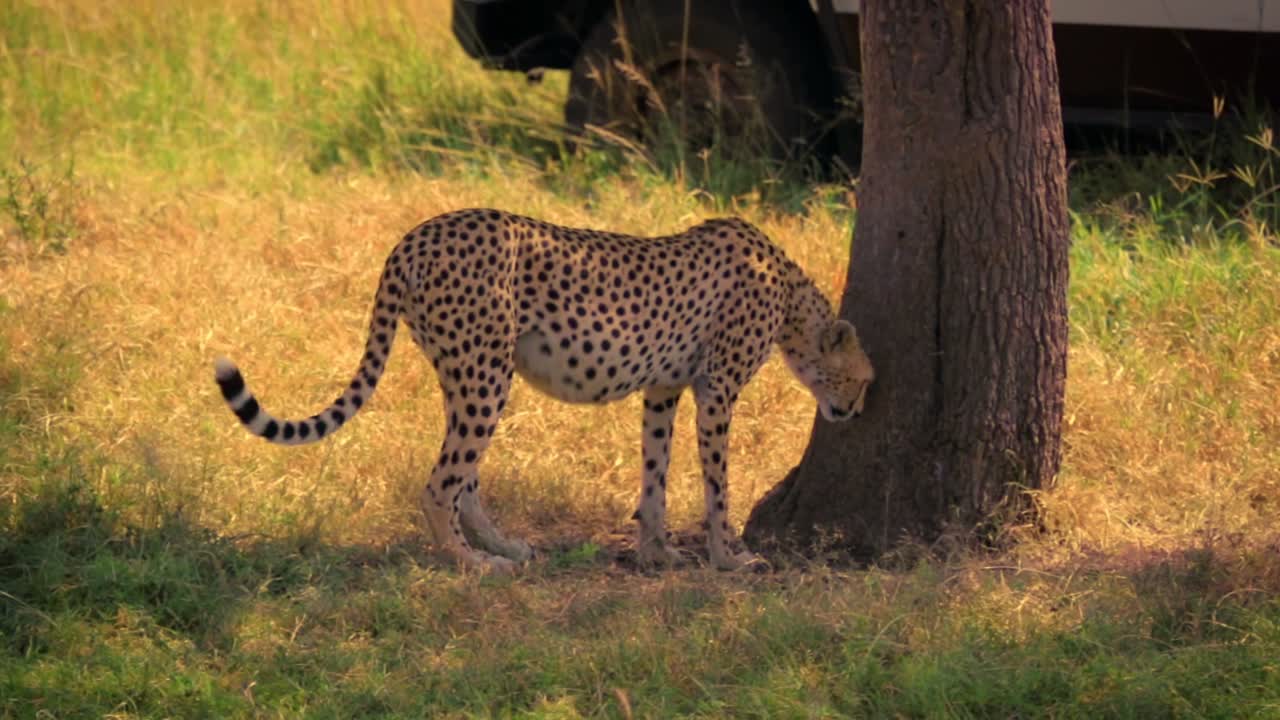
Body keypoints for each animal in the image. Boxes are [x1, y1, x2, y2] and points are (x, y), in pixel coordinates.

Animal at [214, 208, 874, 573]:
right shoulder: (716, 392)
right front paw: (728, 556)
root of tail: (415, 236)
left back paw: (504, 547)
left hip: (469, 372)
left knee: (465, 481)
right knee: (440, 484)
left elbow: (655, 475)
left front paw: (657, 553)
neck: (791, 298)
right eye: (864, 378)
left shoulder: (662, 389)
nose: (856, 410)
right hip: (486, 374)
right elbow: (718, 484)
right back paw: (474, 564)